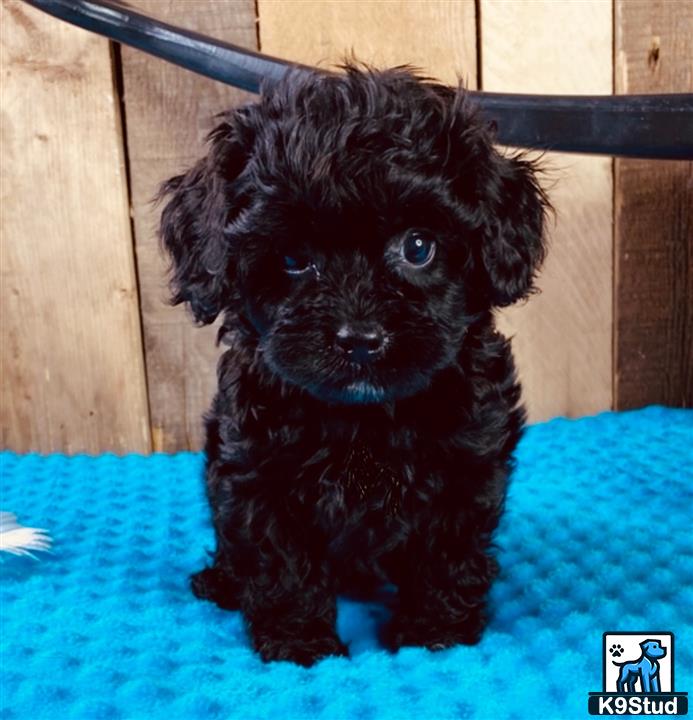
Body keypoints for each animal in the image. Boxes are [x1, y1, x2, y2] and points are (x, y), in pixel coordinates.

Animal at [159, 64, 548, 668]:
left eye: (418, 247)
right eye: (294, 259)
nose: (361, 340)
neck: (364, 419)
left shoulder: (467, 465)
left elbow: (446, 552)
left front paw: (435, 634)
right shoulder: (255, 470)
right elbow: (281, 561)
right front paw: (300, 644)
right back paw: (222, 582)